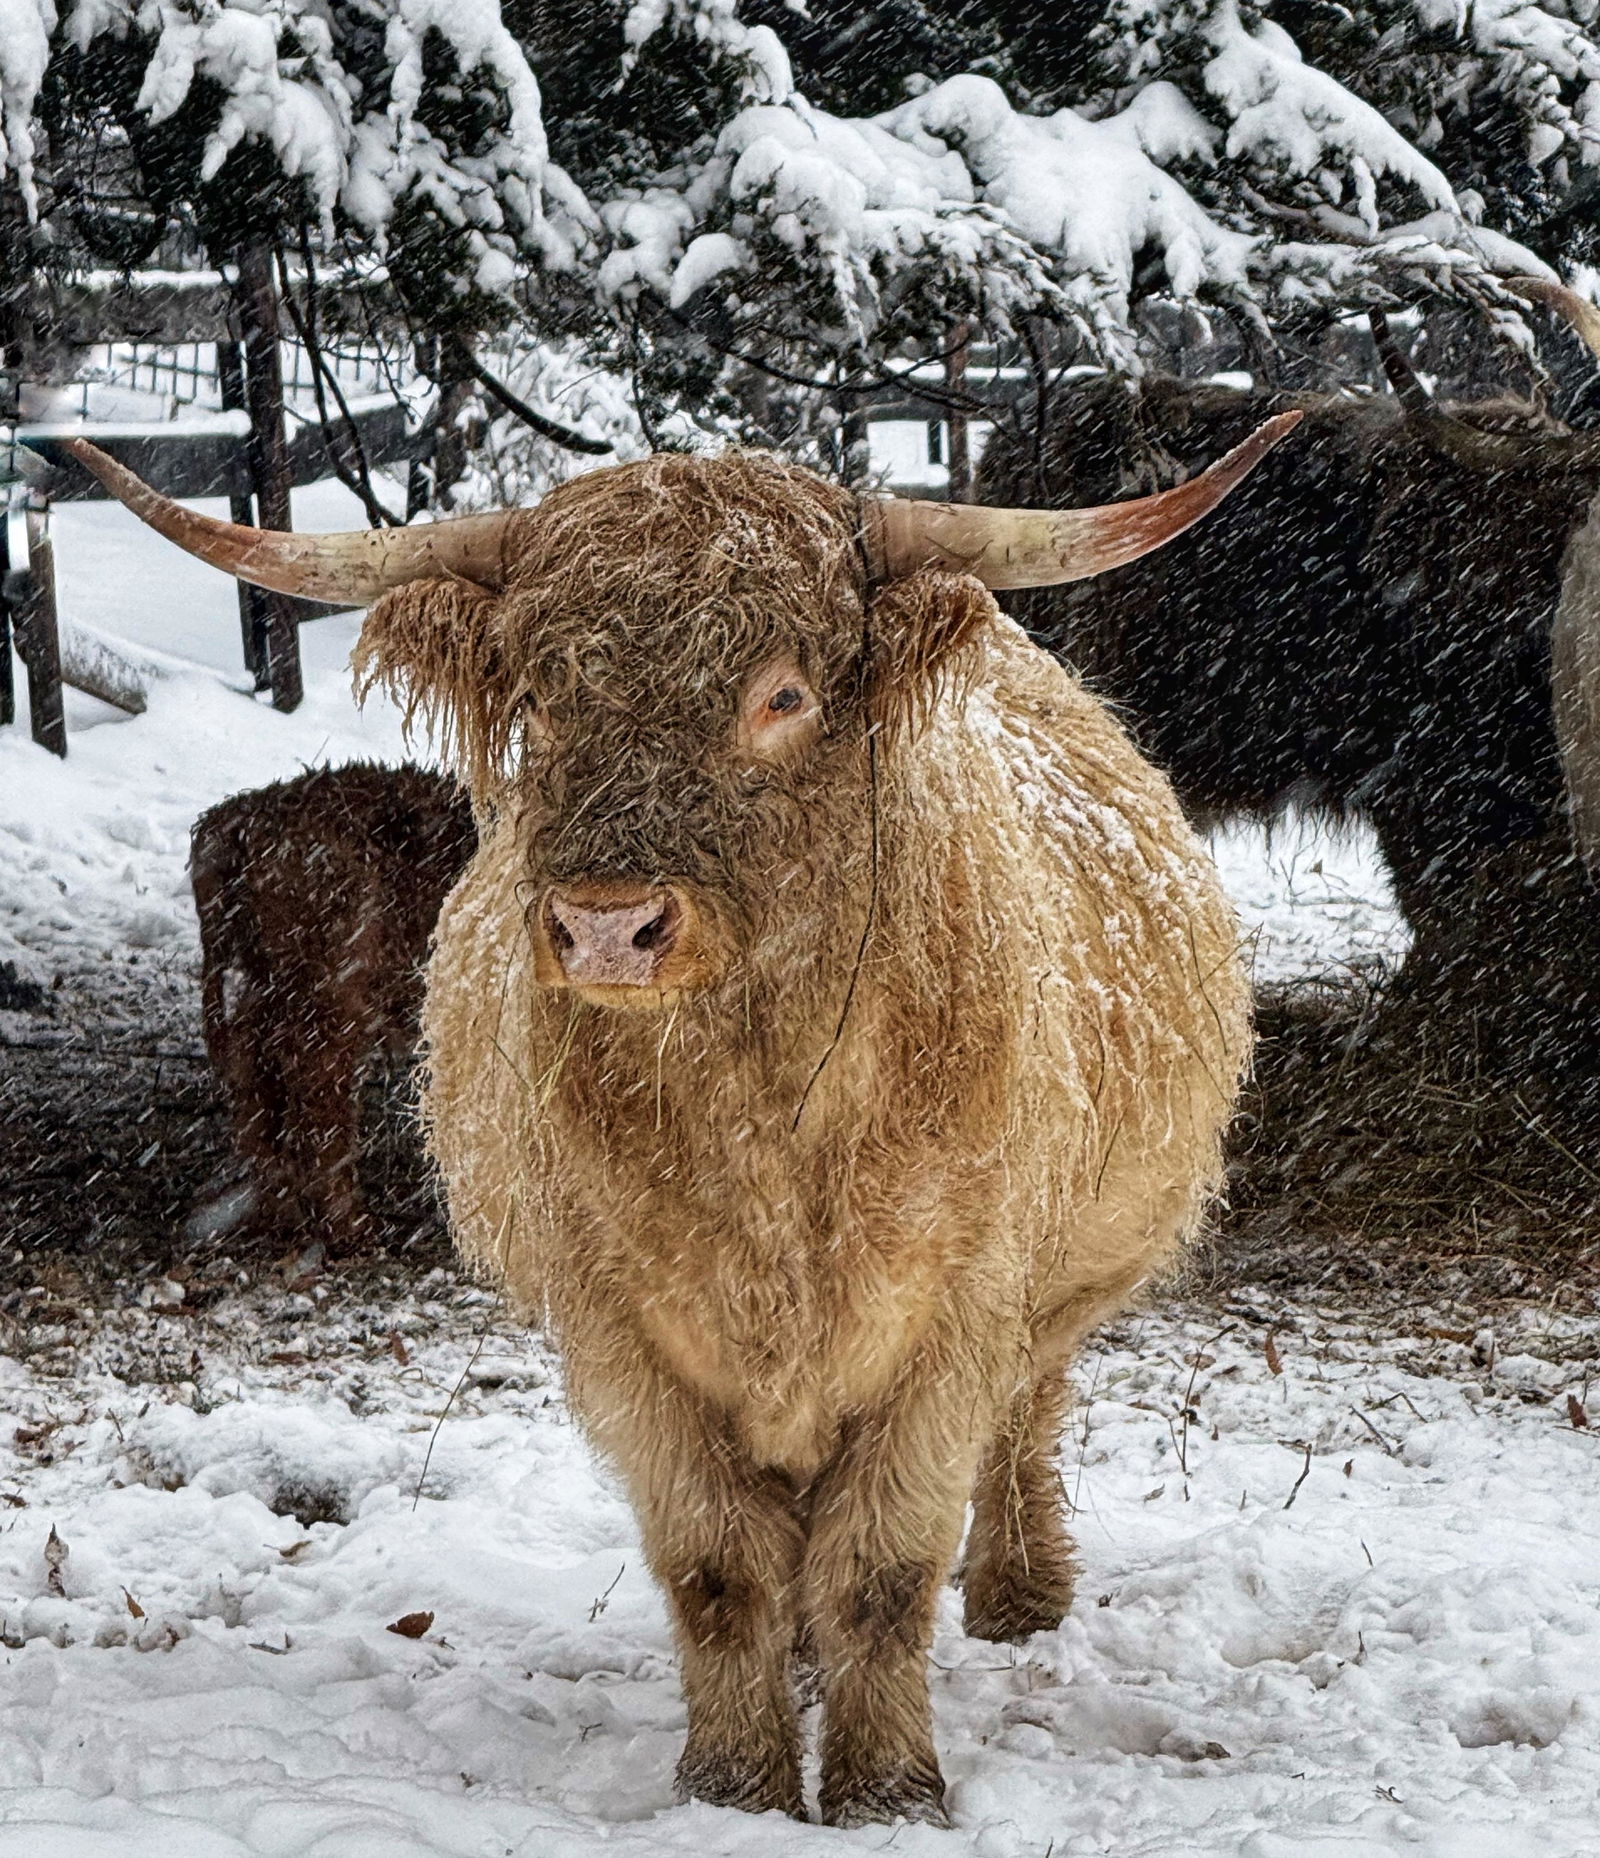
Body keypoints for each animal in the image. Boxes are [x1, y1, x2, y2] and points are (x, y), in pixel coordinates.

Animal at [191, 763, 475, 1253]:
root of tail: (236, 824)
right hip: (329, 995)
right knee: (318, 1101)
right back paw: (349, 1226)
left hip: (246, 990)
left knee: (255, 1095)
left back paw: (285, 1215)